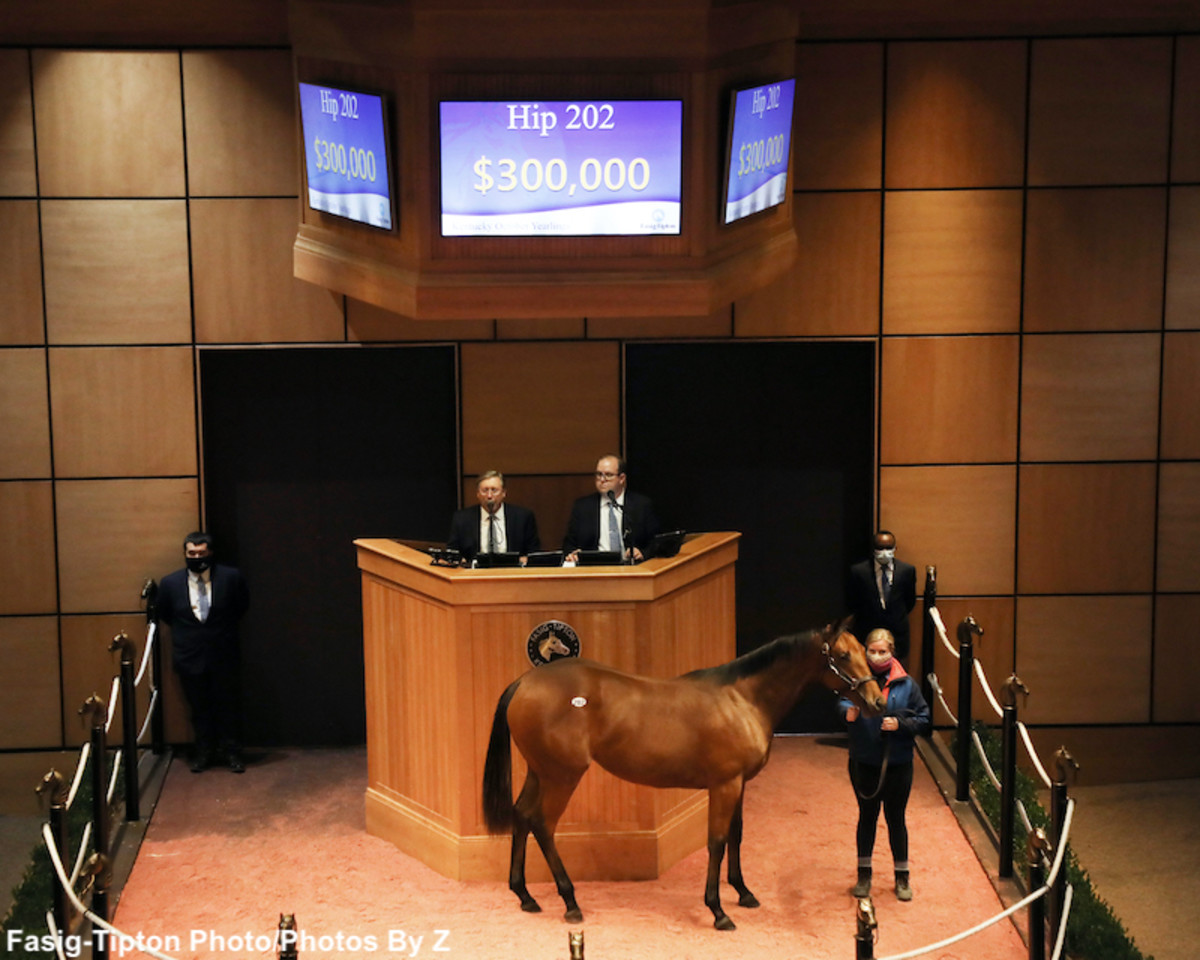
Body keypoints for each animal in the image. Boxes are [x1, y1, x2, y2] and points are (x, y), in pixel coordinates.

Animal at [482, 619, 888, 926]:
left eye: (863, 650)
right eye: (842, 655)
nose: (878, 702)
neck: (743, 700)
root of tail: (524, 682)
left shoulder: (739, 784)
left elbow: (737, 836)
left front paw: (743, 893)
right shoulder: (724, 785)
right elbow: (717, 841)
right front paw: (718, 910)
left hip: (540, 772)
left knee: (522, 815)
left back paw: (525, 895)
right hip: (562, 777)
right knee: (542, 824)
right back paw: (569, 902)